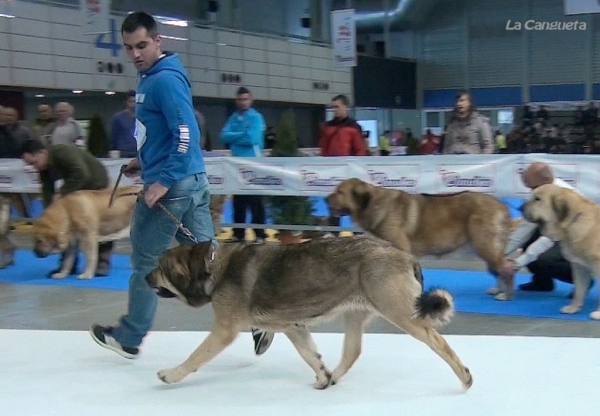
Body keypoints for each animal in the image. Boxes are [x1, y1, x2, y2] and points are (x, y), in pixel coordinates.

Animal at [326, 178, 512, 300]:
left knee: (506, 267)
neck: (375, 205)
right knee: (501, 266)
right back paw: (498, 290)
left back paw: (506, 294)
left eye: (340, 192)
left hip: (484, 244)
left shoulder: (401, 248)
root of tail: (501, 205)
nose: (325, 199)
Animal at [520, 184, 600, 320]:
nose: (519, 208)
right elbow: (579, 290)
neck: (574, 221)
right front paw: (573, 308)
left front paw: (598, 313)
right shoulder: (579, 266)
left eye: (537, 199)